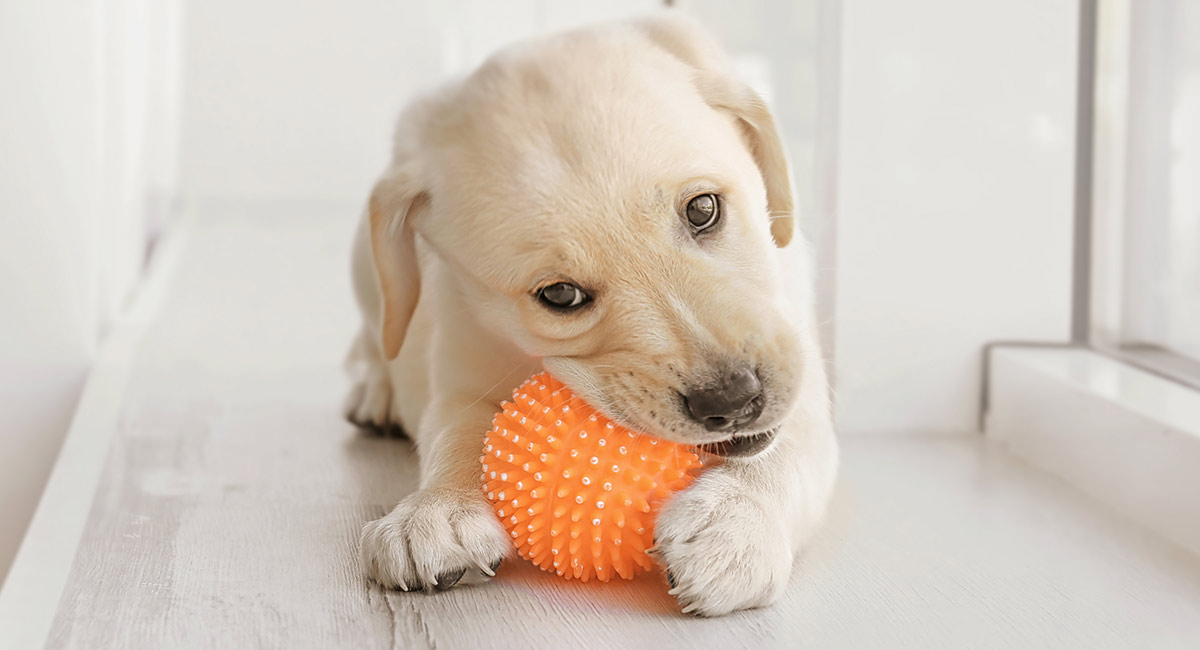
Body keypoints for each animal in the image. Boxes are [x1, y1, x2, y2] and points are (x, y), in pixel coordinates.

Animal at [343, 12, 840, 618]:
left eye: (703, 209)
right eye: (560, 296)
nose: (734, 400)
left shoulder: (801, 380)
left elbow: (784, 450)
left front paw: (734, 523)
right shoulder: (459, 368)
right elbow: (458, 434)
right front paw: (436, 509)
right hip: (367, 269)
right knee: (377, 339)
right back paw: (376, 393)